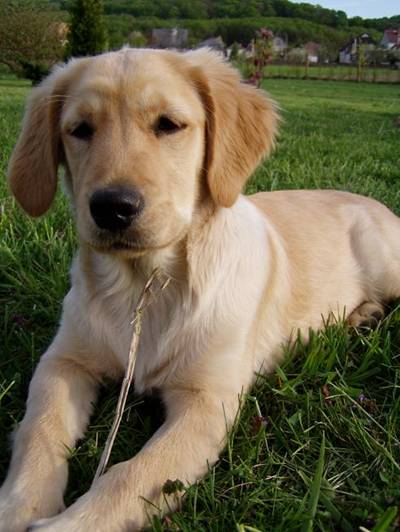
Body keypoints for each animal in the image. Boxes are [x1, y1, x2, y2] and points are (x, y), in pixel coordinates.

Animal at [1, 47, 399, 531]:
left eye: (169, 124)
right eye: (80, 130)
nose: (113, 207)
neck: (145, 285)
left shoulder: (207, 401)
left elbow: (131, 475)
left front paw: (71, 524)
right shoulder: (64, 361)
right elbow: (38, 429)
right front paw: (18, 505)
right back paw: (362, 315)